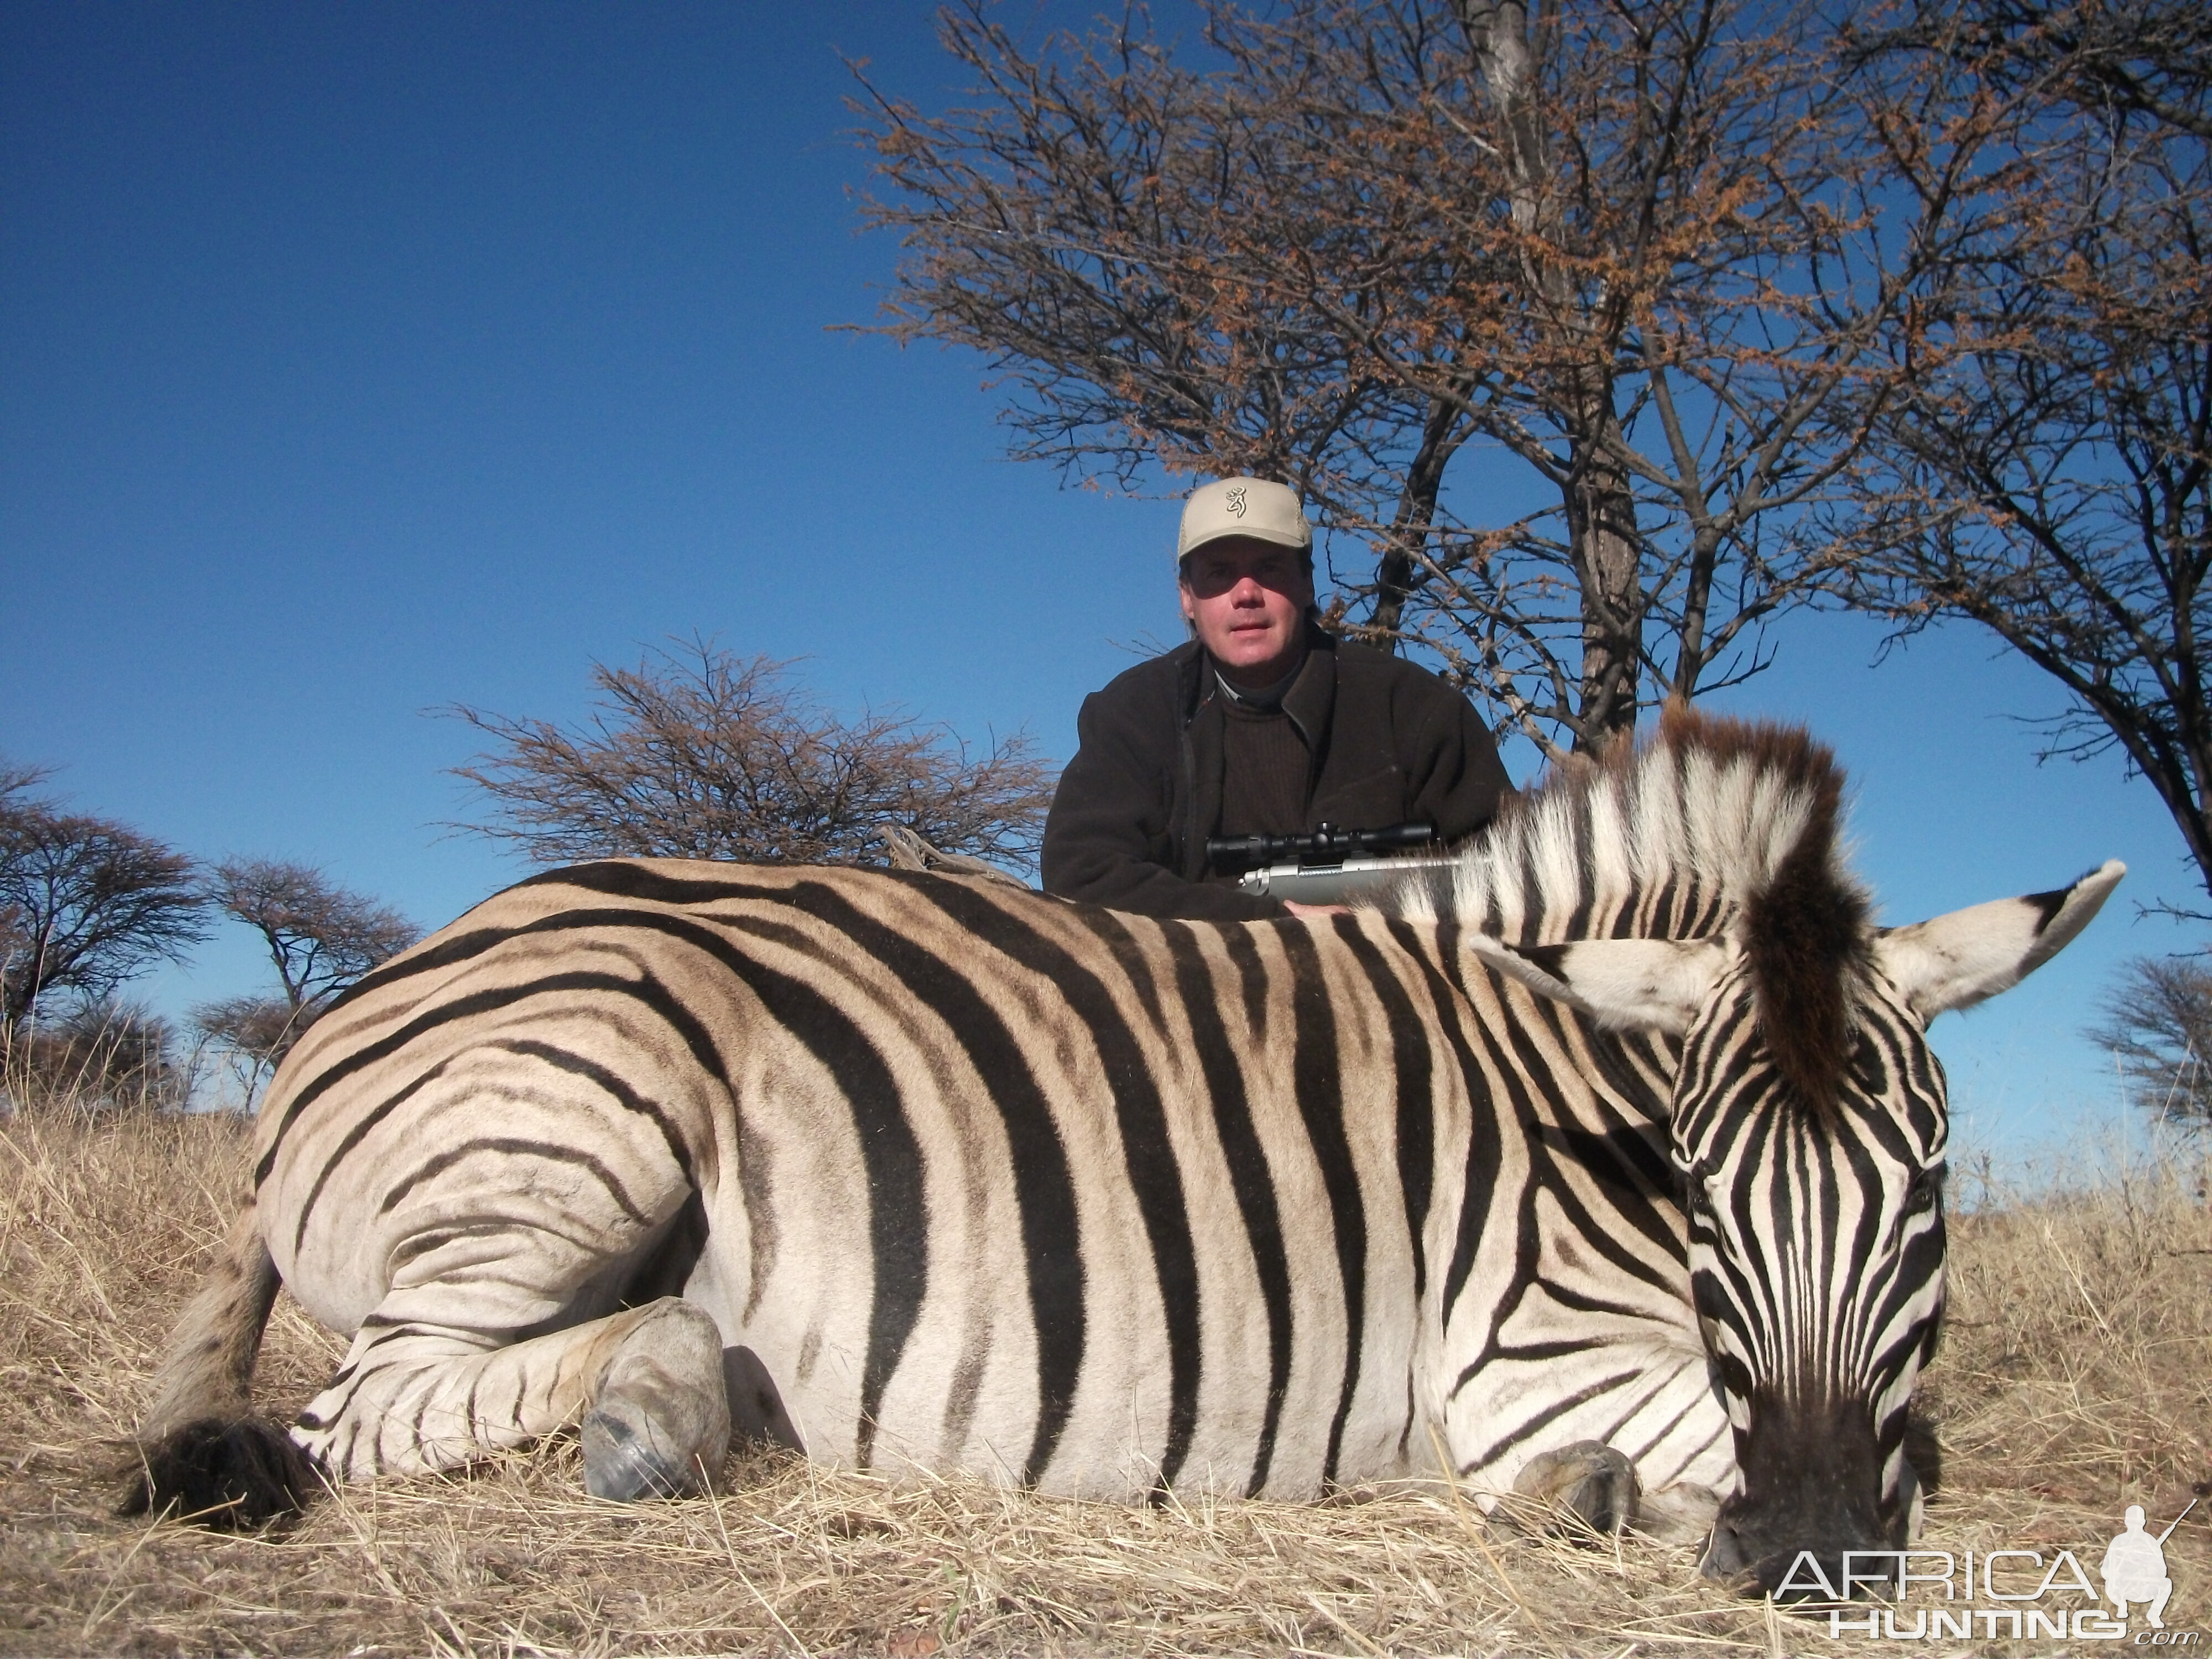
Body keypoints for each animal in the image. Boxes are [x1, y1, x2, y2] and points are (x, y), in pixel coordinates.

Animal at [129, 717, 2115, 1601]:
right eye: (1703, 1188)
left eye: (1930, 1189)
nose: (1811, 1550)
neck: (1573, 1089)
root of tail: (390, 977)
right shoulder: (1524, 1361)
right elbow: (1649, 1448)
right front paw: (1600, 1497)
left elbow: (1906, 1434)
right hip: (582, 1114)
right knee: (367, 1406)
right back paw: (654, 1409)